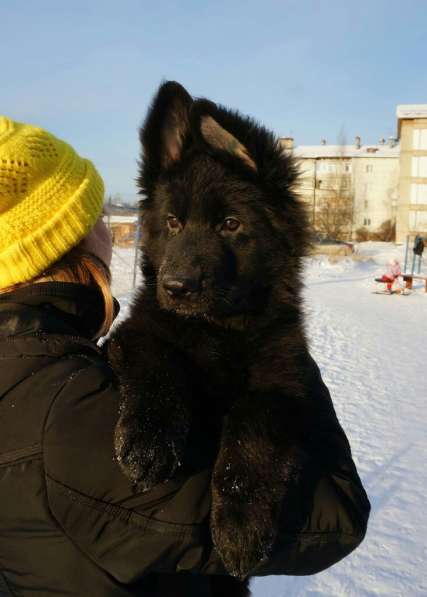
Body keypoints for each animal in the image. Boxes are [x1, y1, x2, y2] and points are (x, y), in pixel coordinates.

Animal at [108, 81, 312, 592]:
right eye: (173, 222)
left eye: (230, 224)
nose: (176, 287)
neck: (217, 329)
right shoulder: (137, 332)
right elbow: (157, 366)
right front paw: (147, 443)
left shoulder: (284, 380)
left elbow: (252, 431)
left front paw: (240, 525)